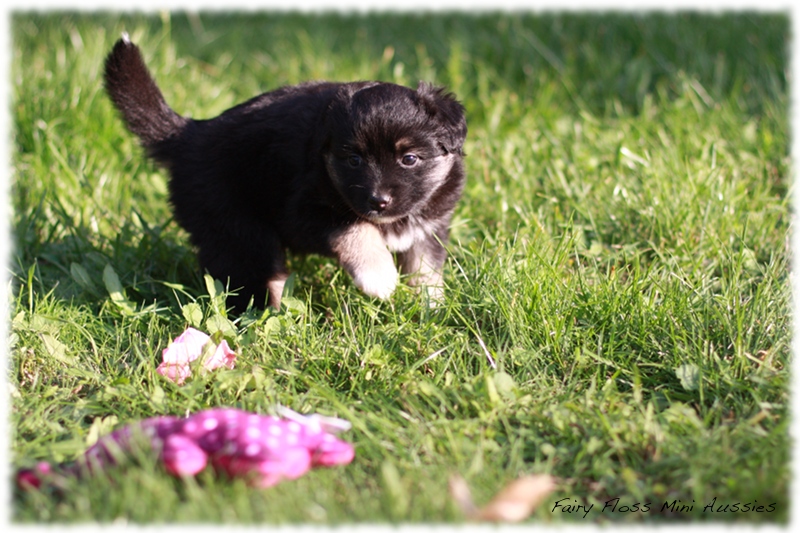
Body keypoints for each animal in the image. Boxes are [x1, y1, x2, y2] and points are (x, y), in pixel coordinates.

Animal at [103, 35, 466, 310]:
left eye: (409, 159)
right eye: (353, 160)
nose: (379, 201)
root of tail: (190, 135)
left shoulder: (427, 228)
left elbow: (425, 269)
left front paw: (431, 308)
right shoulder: (303, 212)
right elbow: (356, 227)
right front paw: (379, 276)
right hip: (237, 230)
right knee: (247, 278)